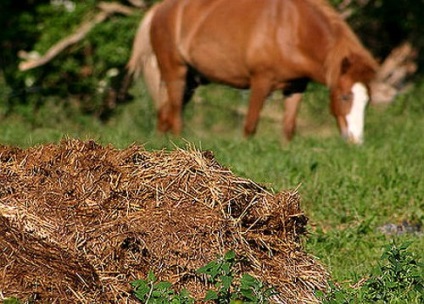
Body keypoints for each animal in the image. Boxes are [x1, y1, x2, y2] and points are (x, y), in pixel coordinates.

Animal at [127, 0, 380, 144]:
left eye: (367, 101)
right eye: (345, 97)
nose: (356, 140)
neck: (292, 28)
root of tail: (159, 9)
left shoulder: (296, 87)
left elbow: (288, 128)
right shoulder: (260, 81)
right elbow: (250, 126)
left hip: (190, 81)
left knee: (164, 114)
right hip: (175, 73)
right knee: (175, 115)